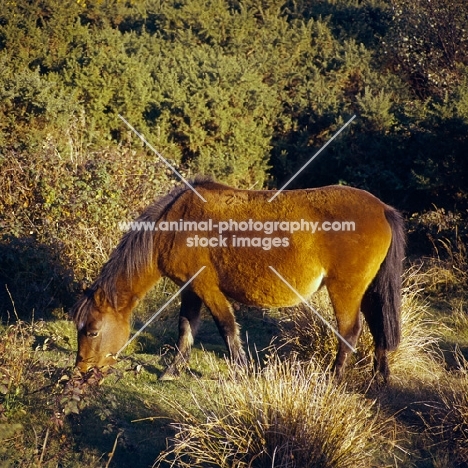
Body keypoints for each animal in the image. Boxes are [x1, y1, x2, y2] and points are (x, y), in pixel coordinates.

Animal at [73, 177, 406, 382]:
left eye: (92, 331)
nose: (80, 369)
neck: (176, 224)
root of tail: (382, 208)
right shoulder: (191, 288)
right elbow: (186, 328)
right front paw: (173, 370)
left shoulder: (206, 286)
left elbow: (227, 327)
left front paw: (241, 371)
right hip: (368, 290)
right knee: (378, 328)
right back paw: (381, 377)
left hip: (345, 290)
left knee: (349, 332)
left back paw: (333, 379)